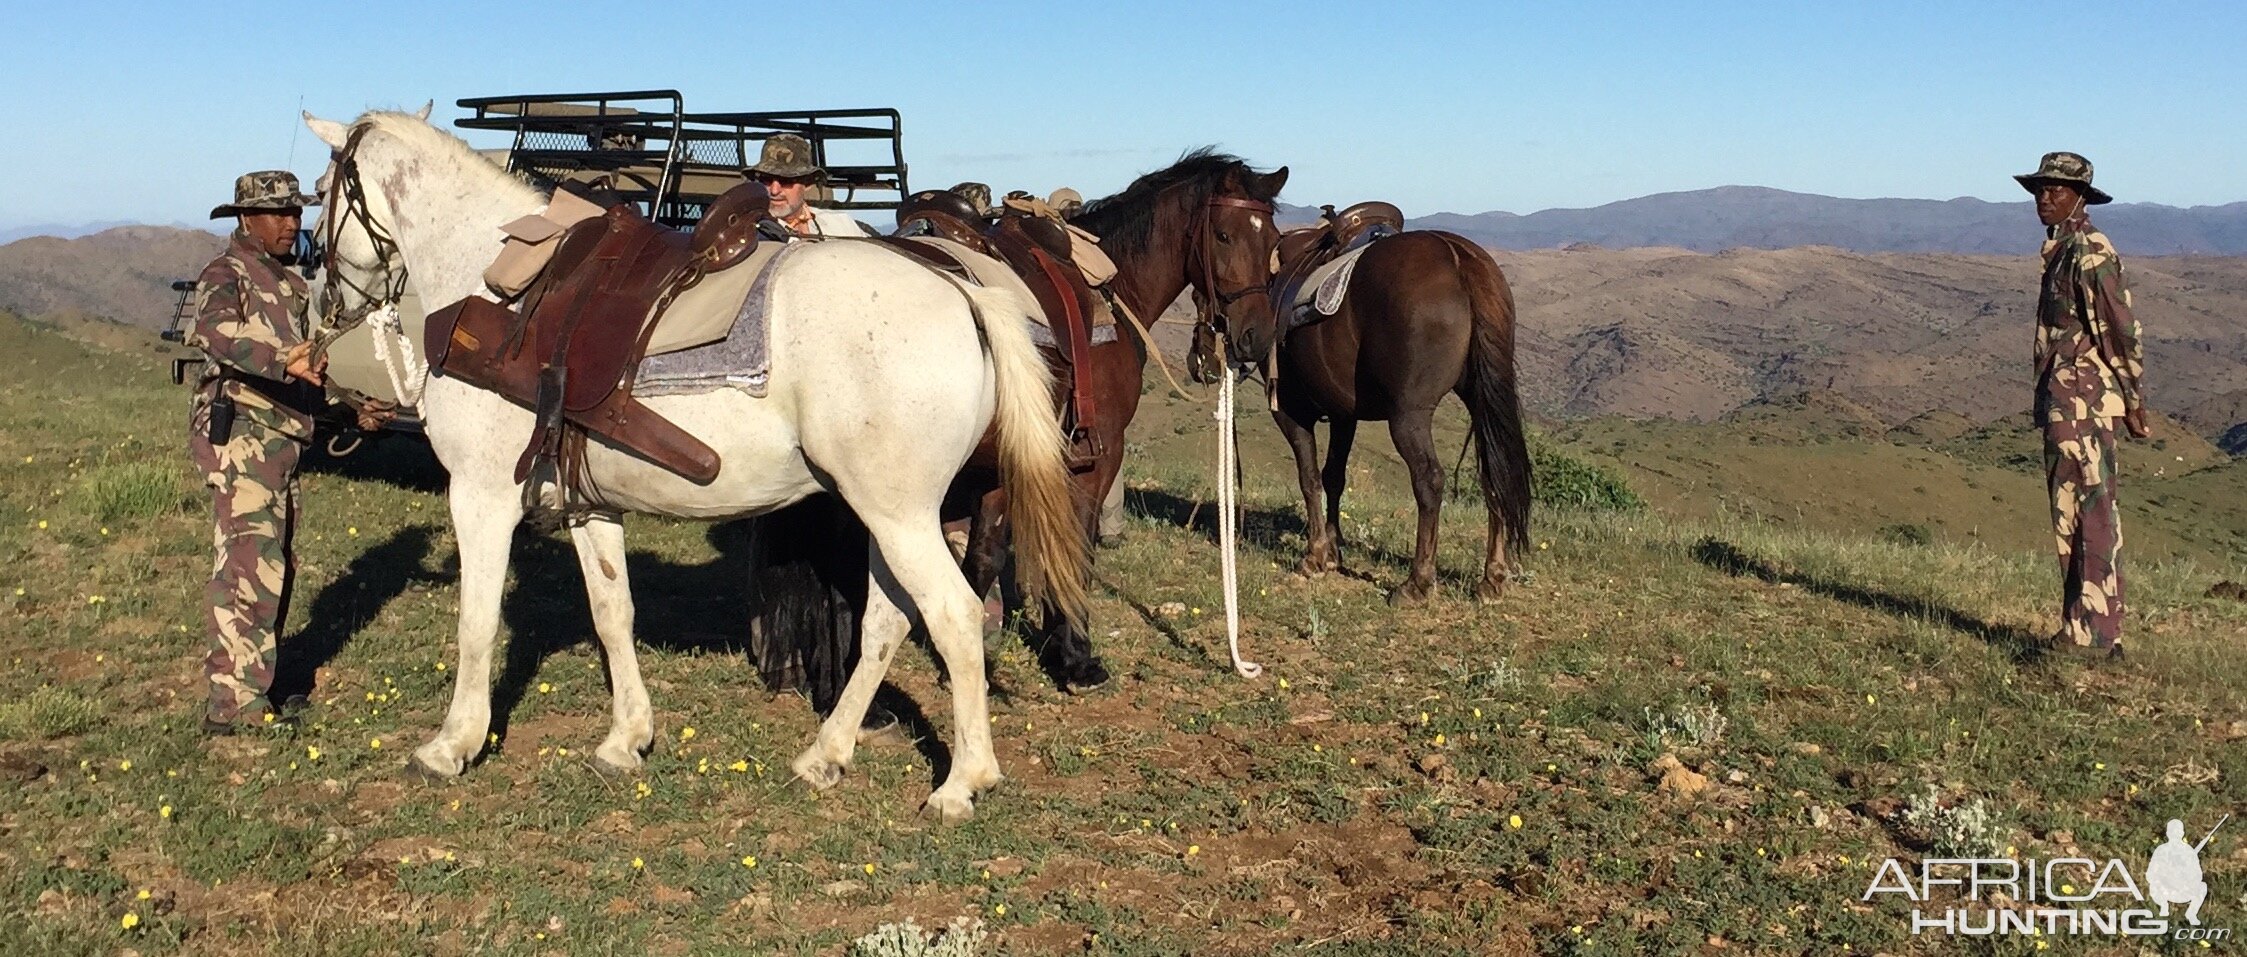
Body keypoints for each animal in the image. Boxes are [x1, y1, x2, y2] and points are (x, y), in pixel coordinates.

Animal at [307, 106, 1087, 822]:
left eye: (321, 192)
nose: (326, 304)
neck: (497, 283)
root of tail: (966, 293)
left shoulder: (481, 495)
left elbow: (476, 622)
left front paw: (452, 745)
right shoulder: (589, 505)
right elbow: (612, 612)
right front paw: (625, 738)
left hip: (898, 515)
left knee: (953, 617)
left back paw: (963, 782)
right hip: (893, 516)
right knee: (887, 624)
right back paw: (825, 754)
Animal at [750, 149, 1294, 700]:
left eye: (1273, 240)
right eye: (1223, 235)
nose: (1255, 336)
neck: (1110, 287)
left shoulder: (998, 464)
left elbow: (985, 555)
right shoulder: (1096, 457)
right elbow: (1076, 547)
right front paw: (1075, 657)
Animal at [1186, 228, 1536, 606]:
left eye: (1196, 295)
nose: (1199, 361)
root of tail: (1457, 255)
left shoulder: (1290, 413)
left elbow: (1309, 478)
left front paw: (1315, 555)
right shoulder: (1344, 415)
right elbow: (1333, 477)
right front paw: (1333, 550)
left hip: (1408, 417)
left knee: (1429, 480)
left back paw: (1417, 582)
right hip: (1481, 400)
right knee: (1494, 473)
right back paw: (1492, 577)